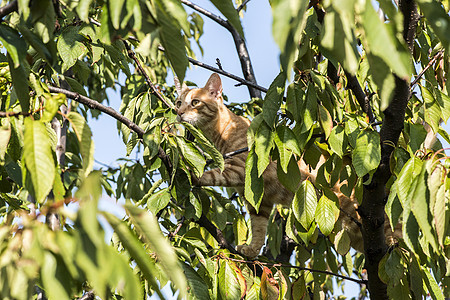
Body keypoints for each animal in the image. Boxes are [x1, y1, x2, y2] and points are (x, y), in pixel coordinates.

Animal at [175, 73, 400, 258]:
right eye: (178, 102)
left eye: (195, 102)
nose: (178, 113)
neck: (221, 134)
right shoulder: (258, 201)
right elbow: (259, 228)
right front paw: (252, 250)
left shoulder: (239, 170)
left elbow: (212, 174)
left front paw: (191, 172)